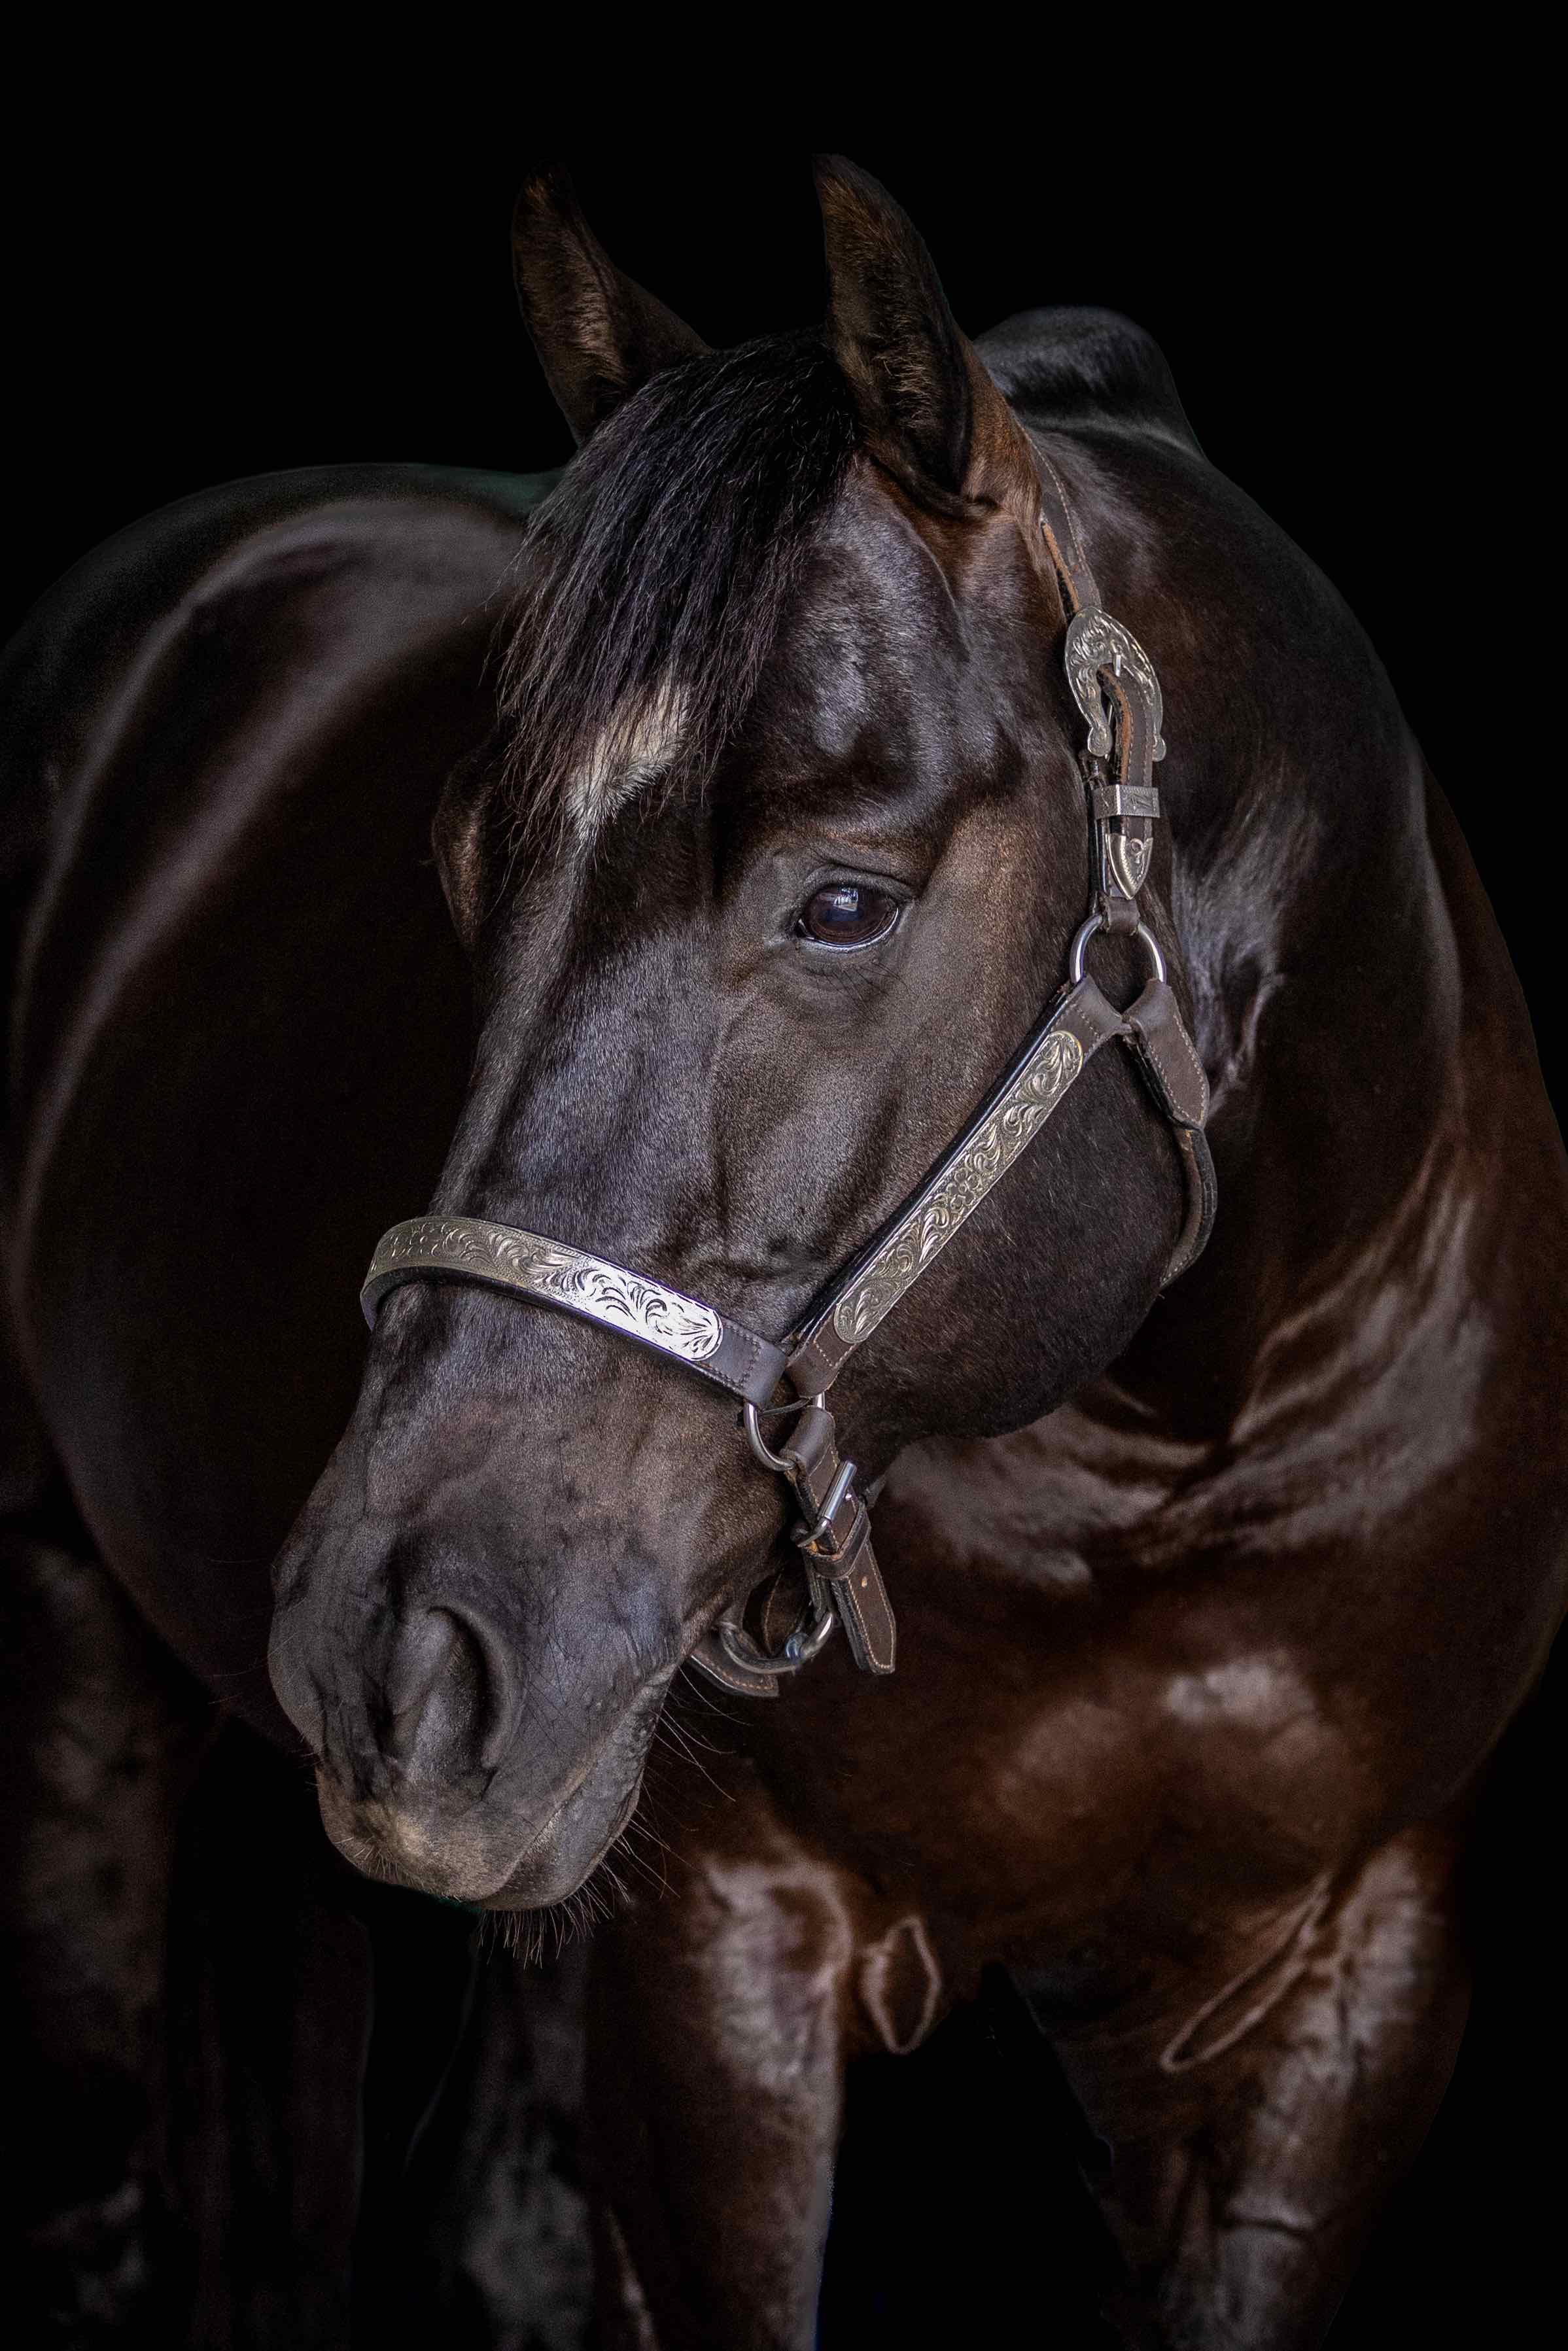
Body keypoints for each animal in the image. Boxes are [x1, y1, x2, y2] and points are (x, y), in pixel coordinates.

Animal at [3, 155, 1564, 2348]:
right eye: (470, 873)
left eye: (843, 901)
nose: (387, 1642)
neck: (1187, 1452)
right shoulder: (721, 1960)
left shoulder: (1339, 1988)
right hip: (74, 1630)